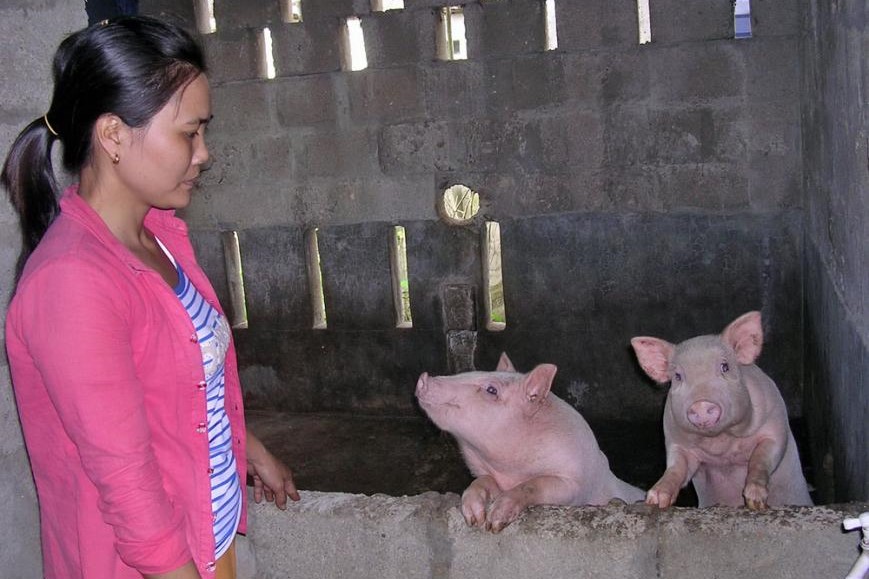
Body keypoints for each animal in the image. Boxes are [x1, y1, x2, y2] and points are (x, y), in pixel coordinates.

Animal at [414, 352, 644, 532]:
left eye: (491, 390)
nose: (424, 376)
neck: (510, 469)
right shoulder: (491, 476)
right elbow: (482, 481)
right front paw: (474, 518)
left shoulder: (577, 484)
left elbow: (534, 485)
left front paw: (494, 522)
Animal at [632, 310, 812, 510]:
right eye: (678, 376)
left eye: (725, 367)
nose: (701, 404)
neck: (721, 443)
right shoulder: (676, 440)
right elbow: (676, 468)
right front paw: (655, 499)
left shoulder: (775, 425)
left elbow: (761, 458)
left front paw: (755, 501)